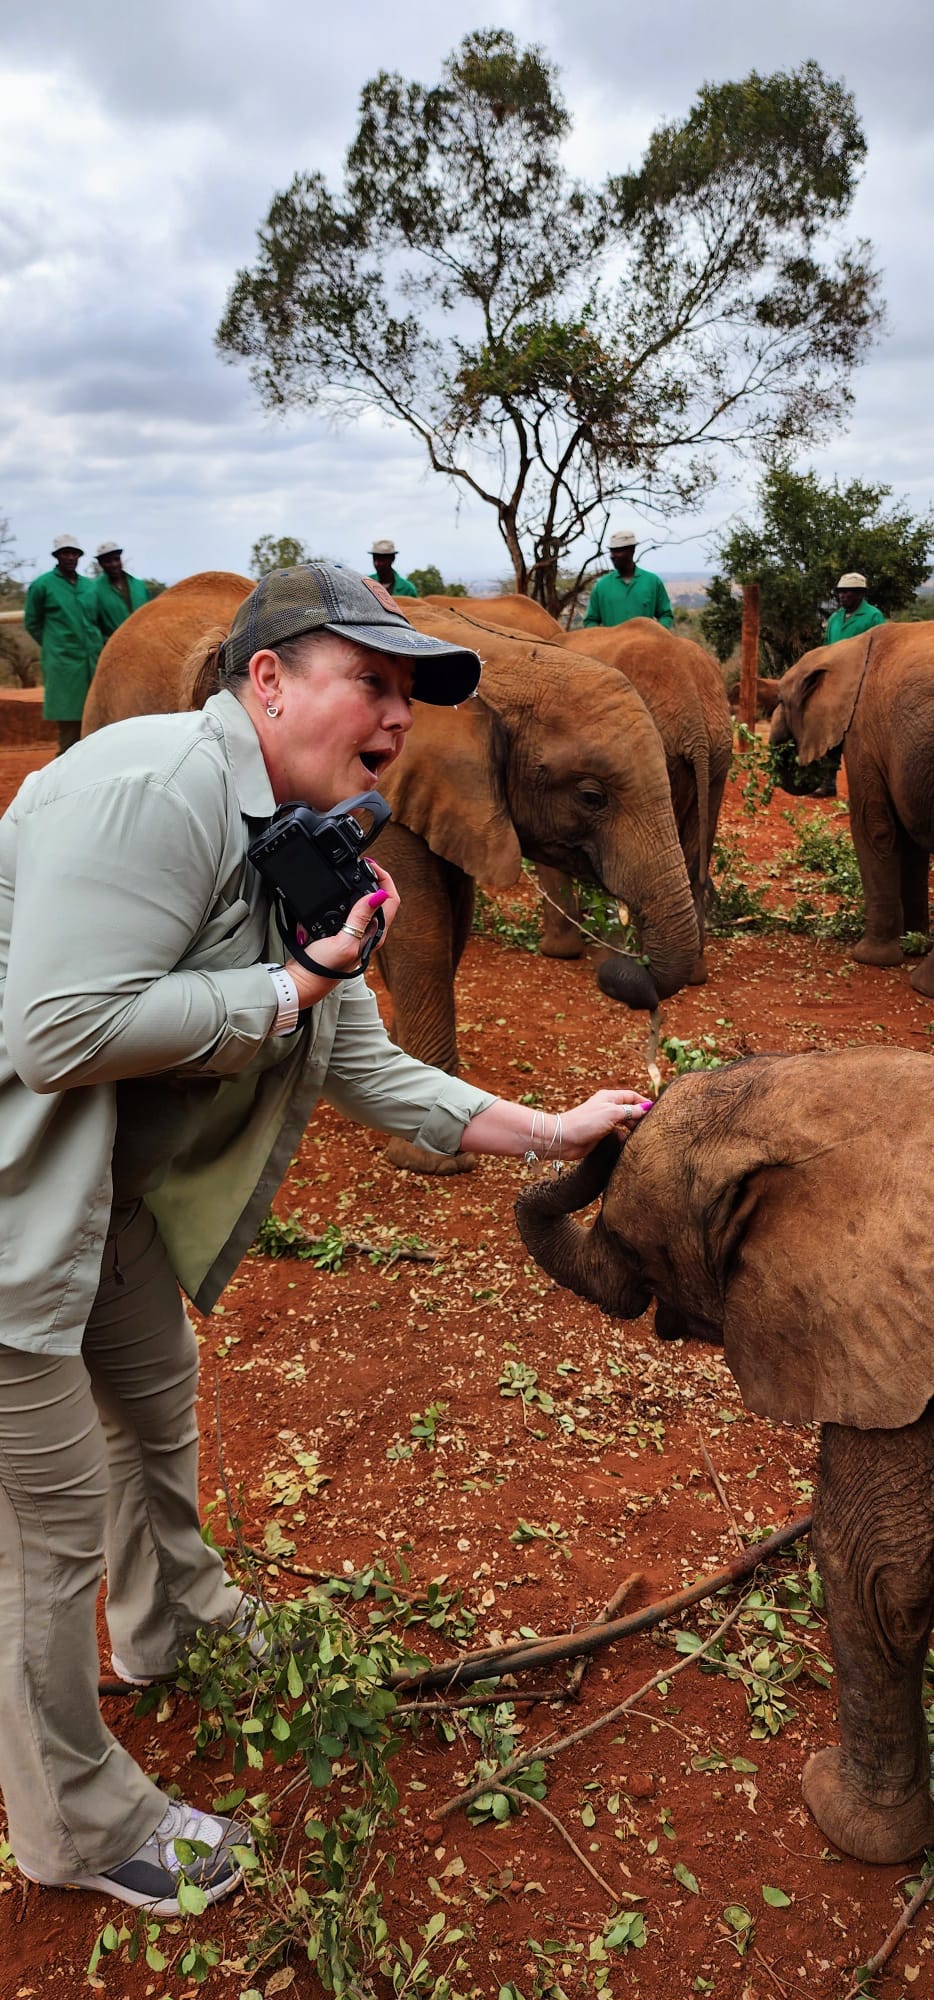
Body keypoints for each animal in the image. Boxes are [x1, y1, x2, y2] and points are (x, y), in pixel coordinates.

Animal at [769, 622, 934, 994]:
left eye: (781, 701)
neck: (847, 649)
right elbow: (911, 840)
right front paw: (913, 943)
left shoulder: (863, 731)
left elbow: (875, 827)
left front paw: (870, 958)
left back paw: (923, 985)